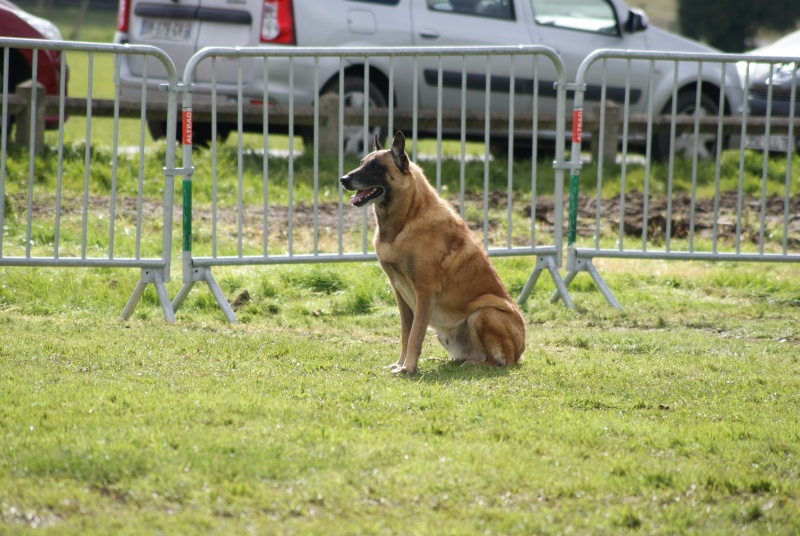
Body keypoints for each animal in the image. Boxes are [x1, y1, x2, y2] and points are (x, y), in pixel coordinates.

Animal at [340, 131, 520, 372]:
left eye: (376, 166)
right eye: (362, 163)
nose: (343, 180)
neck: (408, 218)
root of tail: (520, 353)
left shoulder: (424, 292)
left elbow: (415, 334)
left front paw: (407, 368)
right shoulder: (400, 294)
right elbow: (406, 333)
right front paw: (401, 363)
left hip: (483, 314)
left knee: (497, 361)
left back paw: (473, 364)